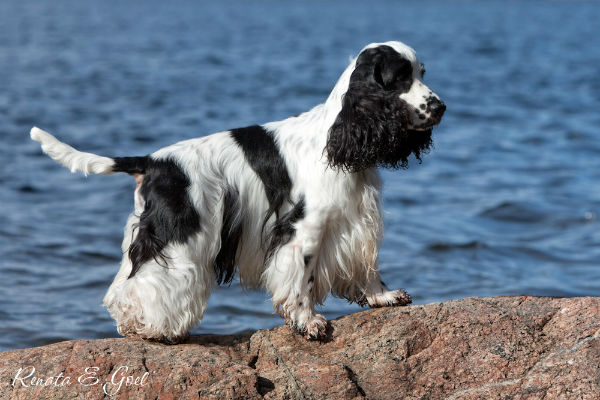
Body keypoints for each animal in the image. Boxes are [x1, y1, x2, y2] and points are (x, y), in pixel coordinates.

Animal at [31, 39, 446, 340]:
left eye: (422, 72)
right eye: (400, 78)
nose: (440, 106)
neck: (337, 136)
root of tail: (153, 161)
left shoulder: (356, 220)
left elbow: (368, 264)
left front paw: (384, 297)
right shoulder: (304, 228)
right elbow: (302, 277)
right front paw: (308, 322)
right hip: (180, 230)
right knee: (144, 282)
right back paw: (155, 328)